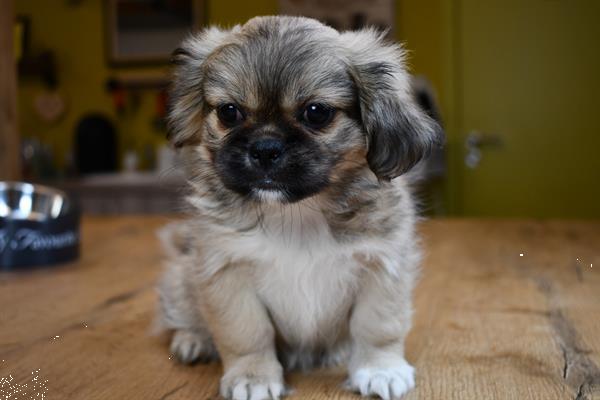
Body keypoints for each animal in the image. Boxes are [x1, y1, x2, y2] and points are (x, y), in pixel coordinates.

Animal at [158, 15, 440, 400]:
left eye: (316, 113)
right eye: (229, 112)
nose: (265, 147)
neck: (297, 215)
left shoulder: (382, 266)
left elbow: (377, 326)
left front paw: (380, 369)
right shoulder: (226, 271)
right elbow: (247, 334)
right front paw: (253, 376)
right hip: (182, 278)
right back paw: (193, 340)